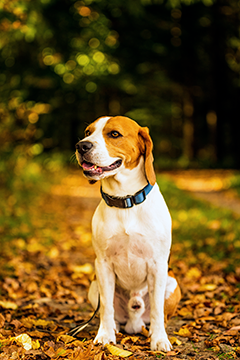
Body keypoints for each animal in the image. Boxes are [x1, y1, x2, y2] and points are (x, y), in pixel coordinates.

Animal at [75, 116, 180, 352]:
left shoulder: (158, 265)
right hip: (94, 286)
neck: (126, 201)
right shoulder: (102, 264)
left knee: (160, 315)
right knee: (110, 312)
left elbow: (158, 310)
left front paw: (159, 340)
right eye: (87, 132)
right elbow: (106, 308)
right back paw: (114, 327)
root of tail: (134, 321)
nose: (81, 146)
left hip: (172, 284)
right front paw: (105, 335)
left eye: (114, 134)